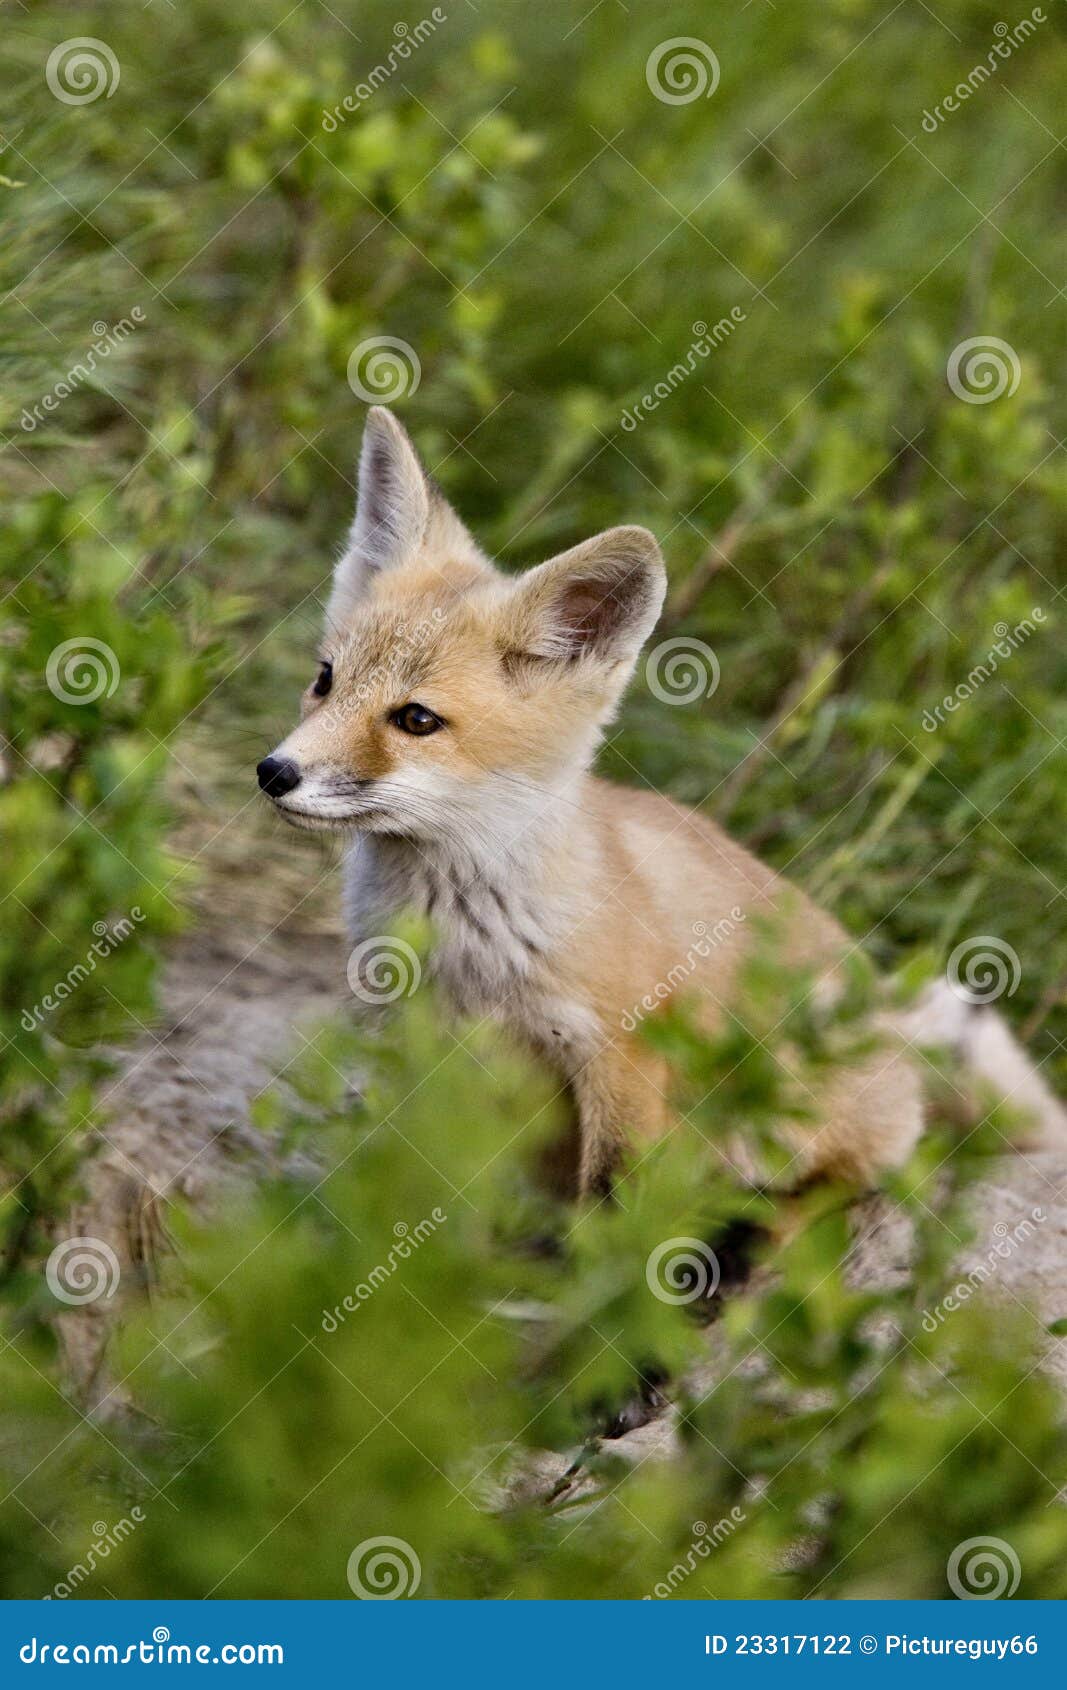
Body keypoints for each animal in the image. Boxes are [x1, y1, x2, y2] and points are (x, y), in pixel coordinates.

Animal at [258, 407, 1067, 1198]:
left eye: (416, 720)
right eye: (325, 680)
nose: (273, 772)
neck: (462, 941)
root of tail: (890, 1032)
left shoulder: (624, 1056)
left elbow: (612, 1200)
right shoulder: (413, 1051)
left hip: (779, 1118)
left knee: (841, 1185)